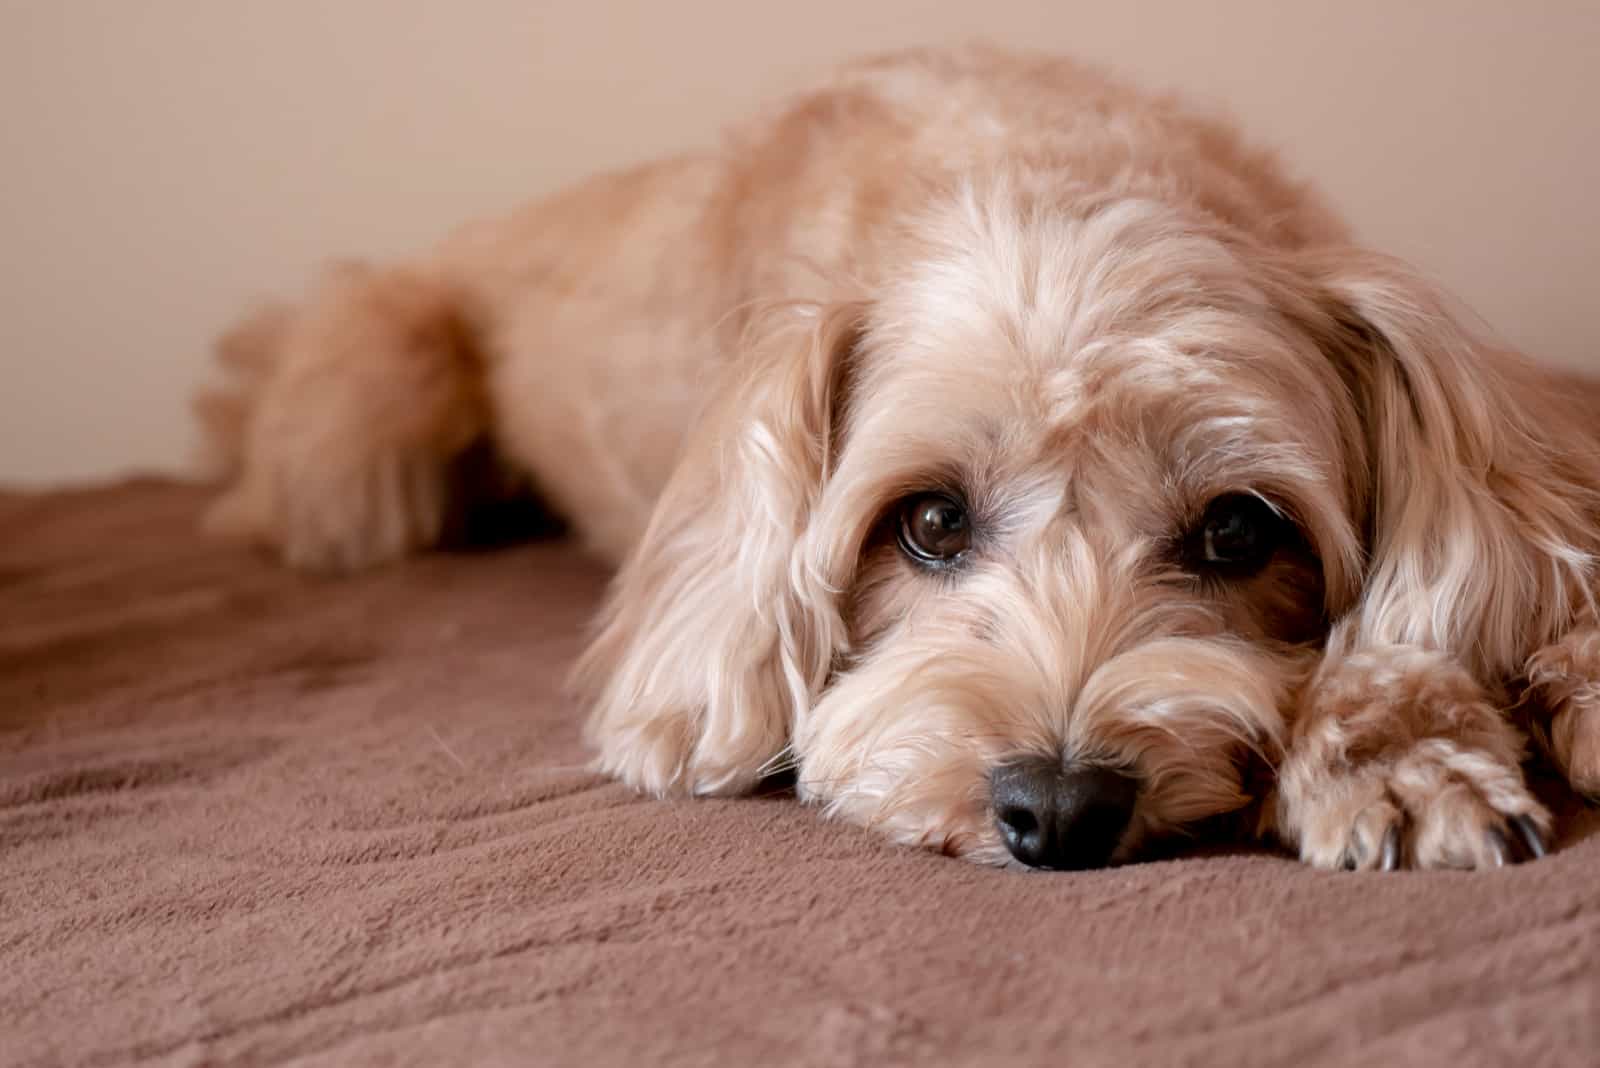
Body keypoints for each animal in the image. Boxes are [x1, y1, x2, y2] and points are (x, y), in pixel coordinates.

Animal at [200, 45, 1600, 869]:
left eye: (1239, 529)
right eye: (927, 522)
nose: (1060, 812)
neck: (1036, 167)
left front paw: (1410, 736)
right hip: (368, 409)